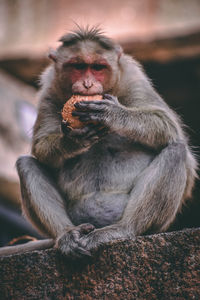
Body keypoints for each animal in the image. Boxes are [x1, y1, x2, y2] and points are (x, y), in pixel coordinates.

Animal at [16, 26, 198, 258]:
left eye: (97, 67)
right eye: (78, 66)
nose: (87, 84)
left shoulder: (134, 78)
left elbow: (168, 127)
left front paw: (113, 114)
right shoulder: (49, 87)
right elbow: (41, 147)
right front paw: (73, 141)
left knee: (176, 150)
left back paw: (122, 229)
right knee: (26, 163)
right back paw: (67, 235)